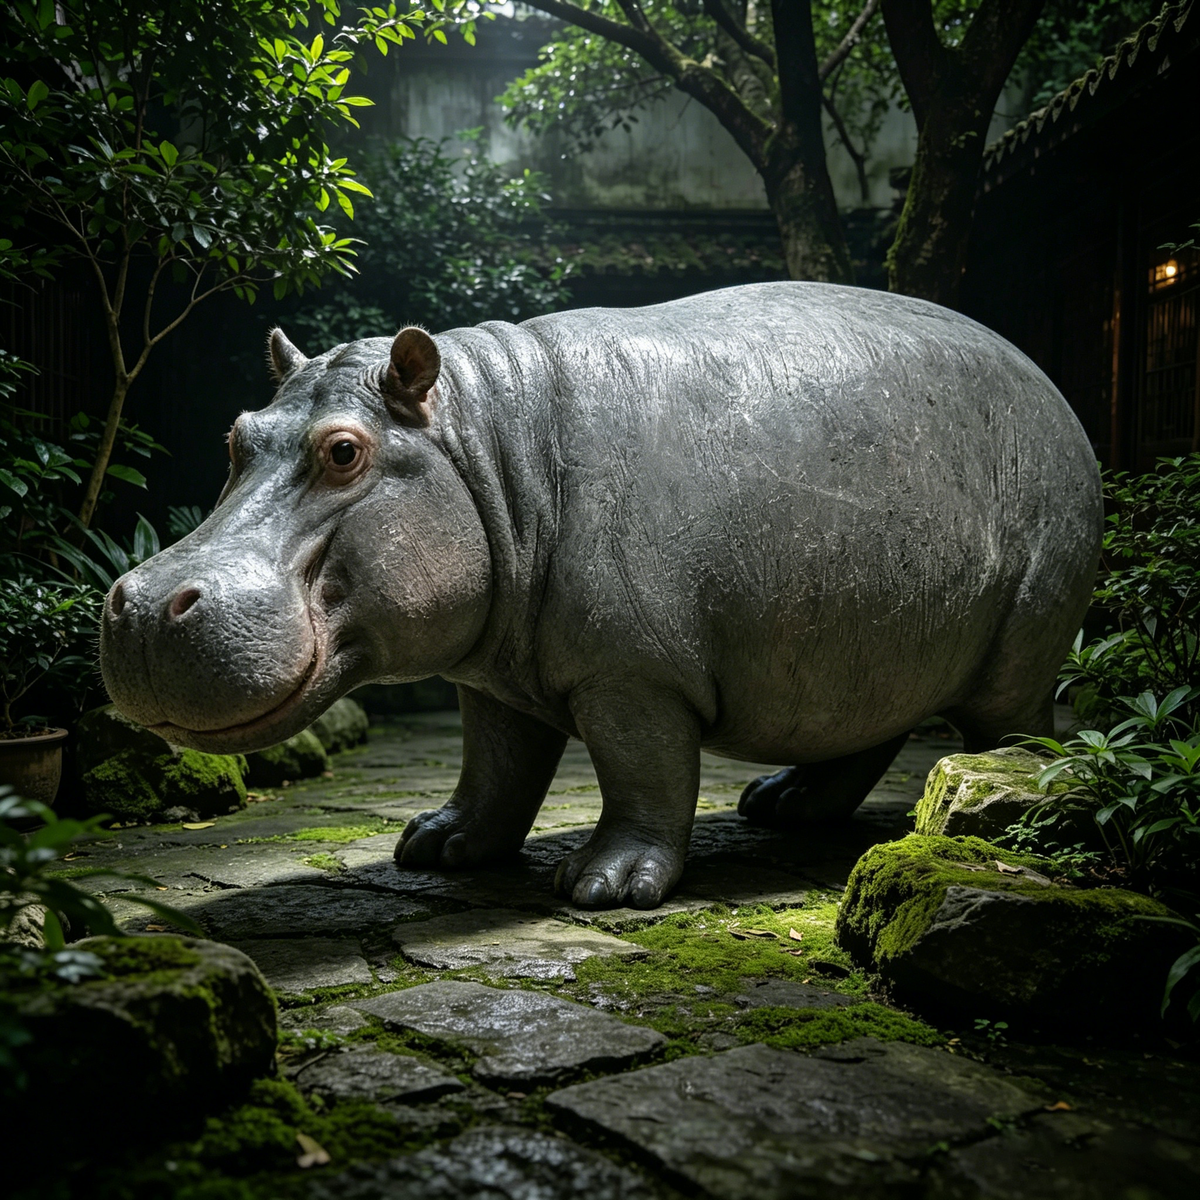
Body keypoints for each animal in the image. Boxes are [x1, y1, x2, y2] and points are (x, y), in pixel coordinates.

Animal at [100, 283, 1103, 909]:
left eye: (344, 450)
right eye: (236, 434)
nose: (142, 604)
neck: (483, 446)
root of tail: (1050, 382)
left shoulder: (634, 677)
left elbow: (641, 773)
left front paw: (602, 888)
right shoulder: (492, 675)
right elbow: (495, 768)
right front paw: (434, 845)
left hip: (1017, 637)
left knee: (1014, 726)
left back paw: (1009, 809)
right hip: (874, 625)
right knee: (863, 725)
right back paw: (778, 805)